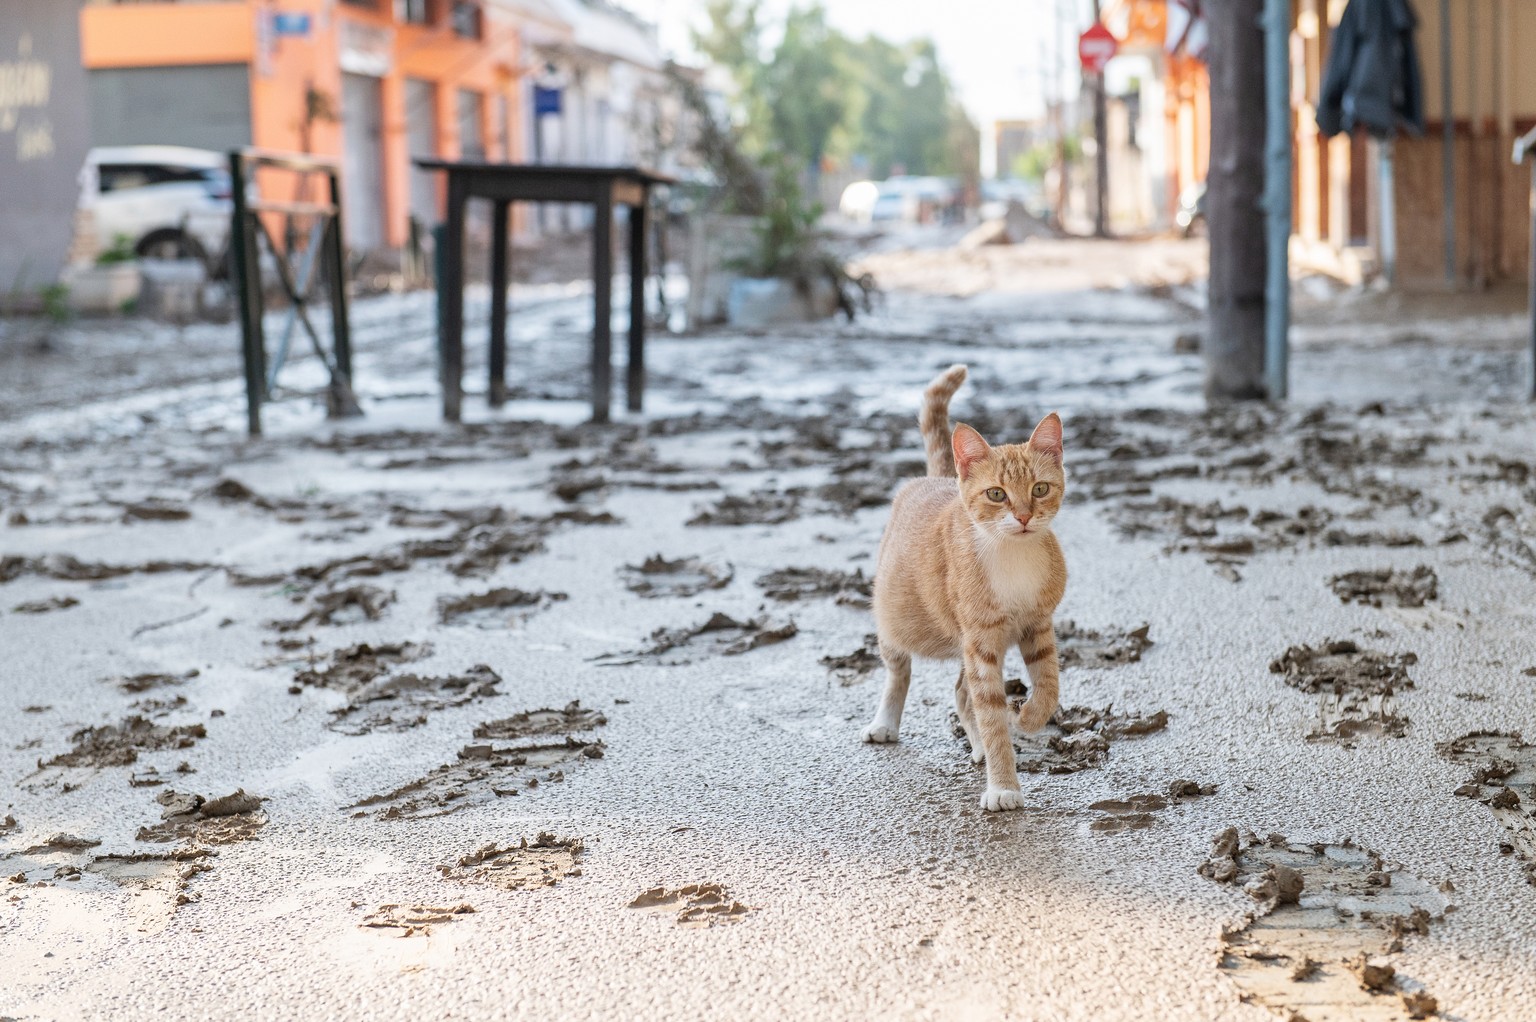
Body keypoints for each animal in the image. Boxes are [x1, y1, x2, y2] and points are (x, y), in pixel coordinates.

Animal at [866, 362, 1069, 811]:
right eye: (996, 494)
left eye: (1040, 489)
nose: (1024, 517)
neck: (1012, 554)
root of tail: (937, 478)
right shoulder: (980, 641)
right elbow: (990, 714)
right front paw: (1003, 785)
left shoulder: (1038, 626)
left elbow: (1048, 685)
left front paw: (1028, 716)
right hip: (897, 619)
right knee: (899, 671)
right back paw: (885, 720)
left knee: (962, 693)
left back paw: (977, 744)